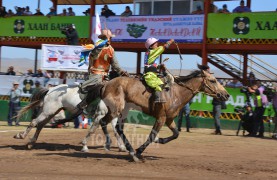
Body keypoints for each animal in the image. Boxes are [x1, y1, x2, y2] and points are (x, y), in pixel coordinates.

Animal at [80, 66, 229, 162]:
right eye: (213, 80)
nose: (226, 95)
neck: (175, 93)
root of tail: (105, 84)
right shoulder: (161, 118)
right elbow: (152, 136)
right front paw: (140, 151)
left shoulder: (169, 119)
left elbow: (176, 134)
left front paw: (159, 140)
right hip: (116, 109)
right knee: (105, 122)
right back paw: (120, 148)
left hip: (122, 110)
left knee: (115, 126)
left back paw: (126, 149)